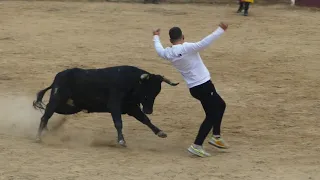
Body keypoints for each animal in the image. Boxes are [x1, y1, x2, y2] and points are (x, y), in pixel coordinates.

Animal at [33, 65, 179, 146]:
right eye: (146, 90)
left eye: (156, 92)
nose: (149, 110)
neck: (132, 82)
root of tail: (57, 78)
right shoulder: (114, 105)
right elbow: (118, 123)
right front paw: (121, 141)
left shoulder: (132, 107)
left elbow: (145, 120)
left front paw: (160, 132)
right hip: (57, 99)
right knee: (45, 116)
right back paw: (38, 137)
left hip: (69, 107)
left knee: (47, 112)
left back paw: (47, 131)